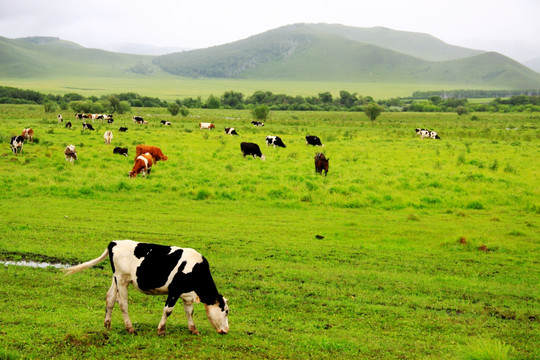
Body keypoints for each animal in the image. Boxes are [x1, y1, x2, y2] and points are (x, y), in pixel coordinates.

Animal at [62, 240, 229, 336]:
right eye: (226, 311)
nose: (226, 331)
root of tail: (114, 242)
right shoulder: (174, 290)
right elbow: (168, 310)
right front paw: (161, 330)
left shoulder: (186, 294)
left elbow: (190, 311)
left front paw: (193, 330)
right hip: (122, 280)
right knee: (122, 303)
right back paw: (130, 328)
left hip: (116, 279)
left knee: (110, 298)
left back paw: (107, 325)